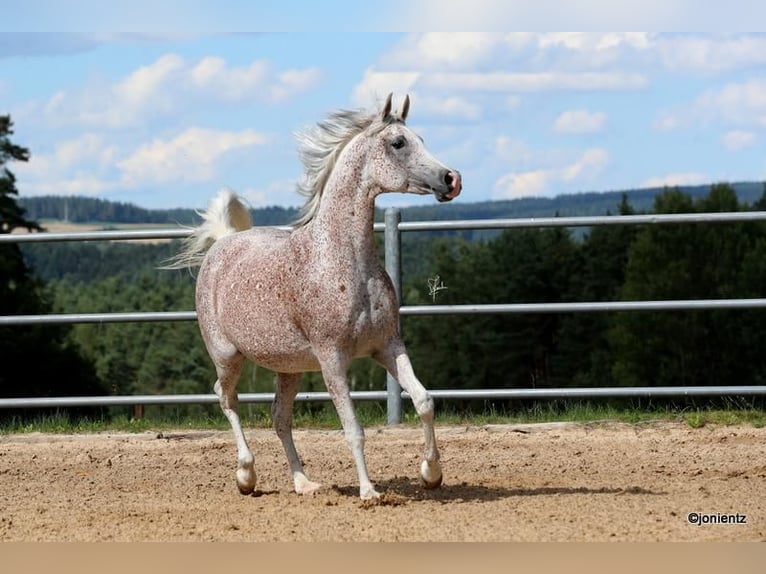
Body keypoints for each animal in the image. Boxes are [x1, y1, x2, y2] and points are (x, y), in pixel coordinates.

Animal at [167, 94, 462, 500]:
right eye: (398, 142)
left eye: (420, 138)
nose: (452, 179)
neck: (342, 260)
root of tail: (223, 242)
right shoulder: (332, 359)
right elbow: (353, 429)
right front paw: (369, 492)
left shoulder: (388, 345)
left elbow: (424, 400)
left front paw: (430, 473)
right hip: (227, 356)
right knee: (226, 399)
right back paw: (246, 476)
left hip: (288, 368)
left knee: (279, 416)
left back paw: (303, 483)